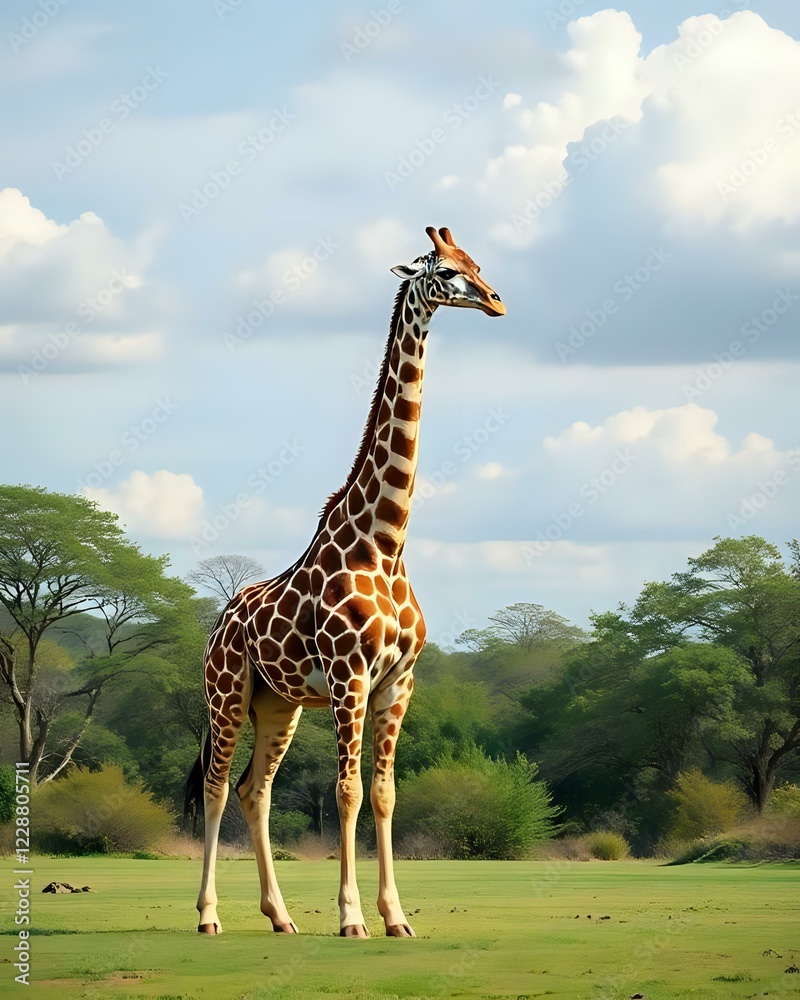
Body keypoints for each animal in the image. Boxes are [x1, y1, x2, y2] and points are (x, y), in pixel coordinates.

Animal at [187, 225, 505, 939]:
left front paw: (396, 918)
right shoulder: (349, 676)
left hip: (276, 705)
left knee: (255, 790)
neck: (384, 543)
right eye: (445, 269)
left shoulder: (398, 680)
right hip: (226, 694)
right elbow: (348, 791)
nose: (497, 300)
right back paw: (209, 916)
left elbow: (383, 792)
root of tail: (217, 624)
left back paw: (280, 917)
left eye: (476, 261)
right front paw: (353, 916)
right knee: (218, 787)